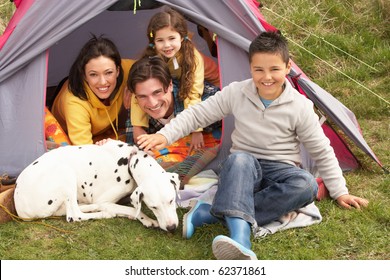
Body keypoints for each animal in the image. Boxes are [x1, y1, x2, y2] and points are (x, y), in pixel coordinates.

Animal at [13, 139, 181, 232]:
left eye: (172, 200)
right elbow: (131, 208)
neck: (130, 160)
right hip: (66, 171)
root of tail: (20, 208)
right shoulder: (104, 200)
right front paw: (144, 218)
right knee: (74, 215)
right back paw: (103, 213)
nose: (171, 228)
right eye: (153, 207)